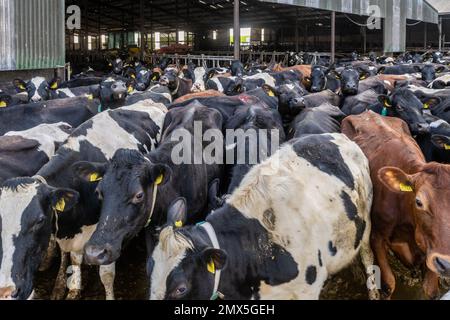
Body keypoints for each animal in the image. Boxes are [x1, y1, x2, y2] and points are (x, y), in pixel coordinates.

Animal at [0, 103, 167, 300]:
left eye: (39, 220)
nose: (7, 292)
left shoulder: (105, 236)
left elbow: (106, 274)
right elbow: (72, 257)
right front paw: (69, 287)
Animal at [149, 134, 378, 302]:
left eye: (180, 288)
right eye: (149, 270)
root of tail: (338, 136)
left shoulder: (307, 290)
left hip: (366, 220)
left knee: (367, 255)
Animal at [342, 110, 450, 300]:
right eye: (419, 202)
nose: (446, 264)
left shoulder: (431, 251)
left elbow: (430, 290)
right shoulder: (376, 237)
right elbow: (388, 284)